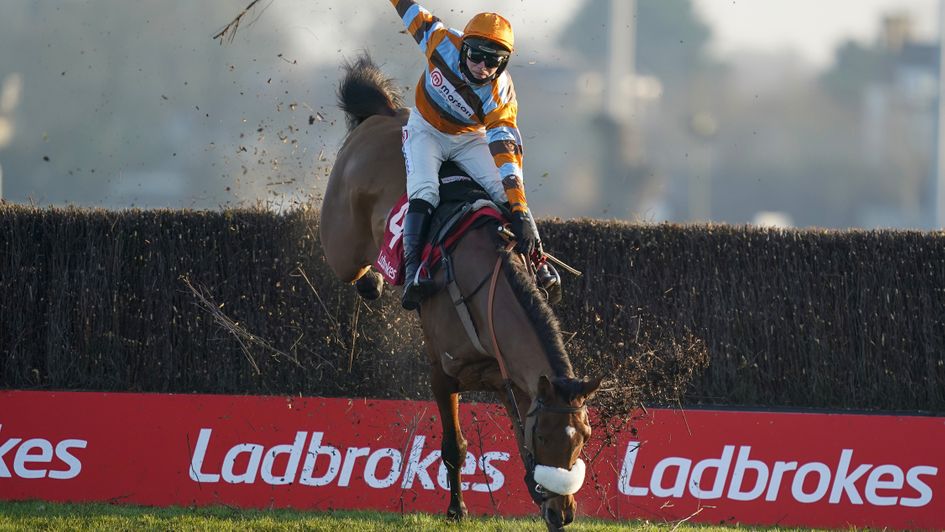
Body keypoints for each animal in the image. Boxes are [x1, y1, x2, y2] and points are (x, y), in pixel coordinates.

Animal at [318, 56, 596, 528]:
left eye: (584, 436)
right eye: (545, 435)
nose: (564, 513)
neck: (482, 293)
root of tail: (385, 114)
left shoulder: (511, 380)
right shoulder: (441, 372)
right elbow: (455, 445)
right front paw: (457, 509)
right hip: (341, 239)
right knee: (353, 266)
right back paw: (376, 280)